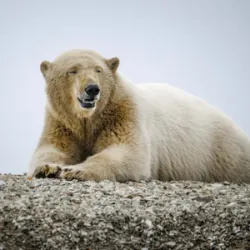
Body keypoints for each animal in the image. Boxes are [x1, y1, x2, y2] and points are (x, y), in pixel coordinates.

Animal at [27, 48, 250, 183]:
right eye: (72, 71)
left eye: (98, 70)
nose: (92, 89)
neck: (91, 118)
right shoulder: (61, 121)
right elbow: (53, 150)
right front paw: (48, 168)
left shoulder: (123, 113)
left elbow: (127, 152)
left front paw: (75, 170)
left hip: (220, 152)